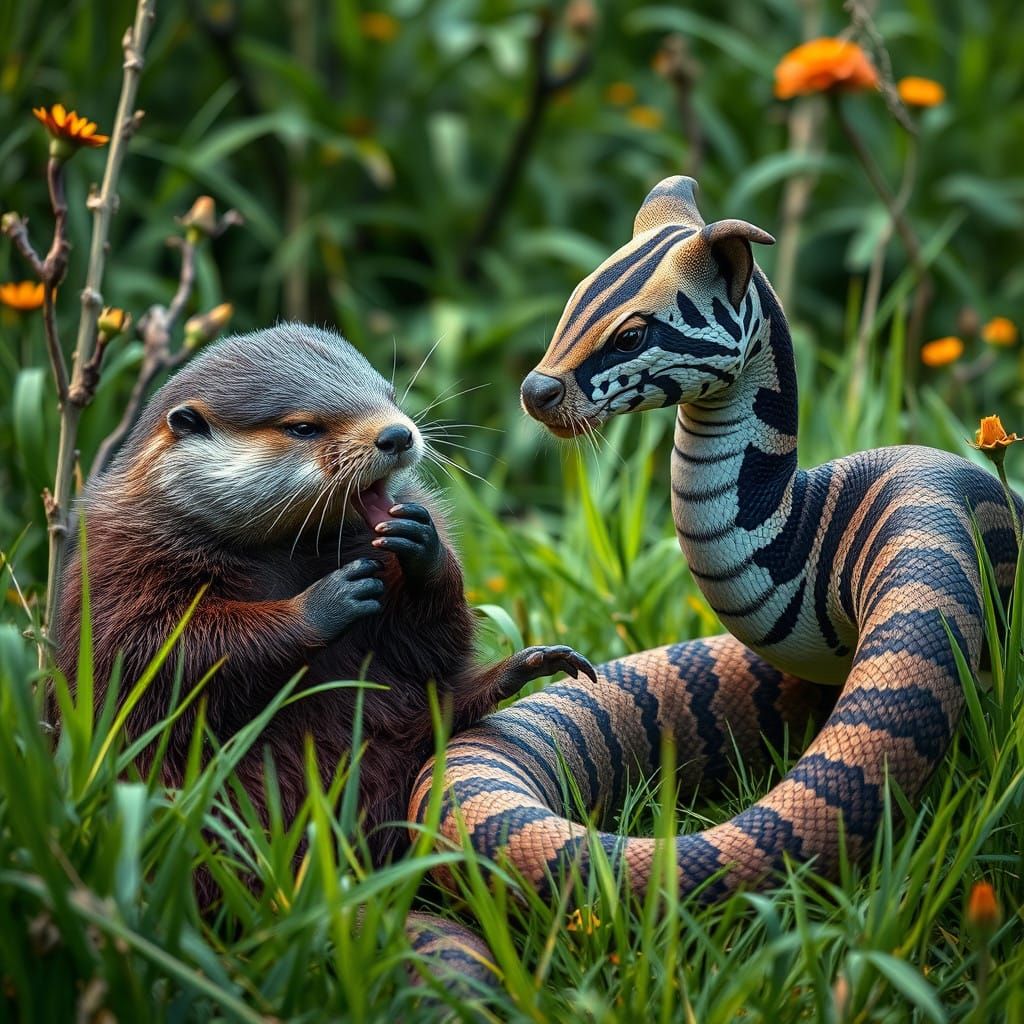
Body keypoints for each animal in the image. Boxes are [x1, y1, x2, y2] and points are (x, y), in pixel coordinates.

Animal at [56, 323, 594, 869]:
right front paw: (328, 600)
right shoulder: (120, 569)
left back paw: (530, 664)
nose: (397, 434)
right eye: (302, 428)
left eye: (389, 395)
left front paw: (423, 548)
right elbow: (158, 653)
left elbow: (429, 646)